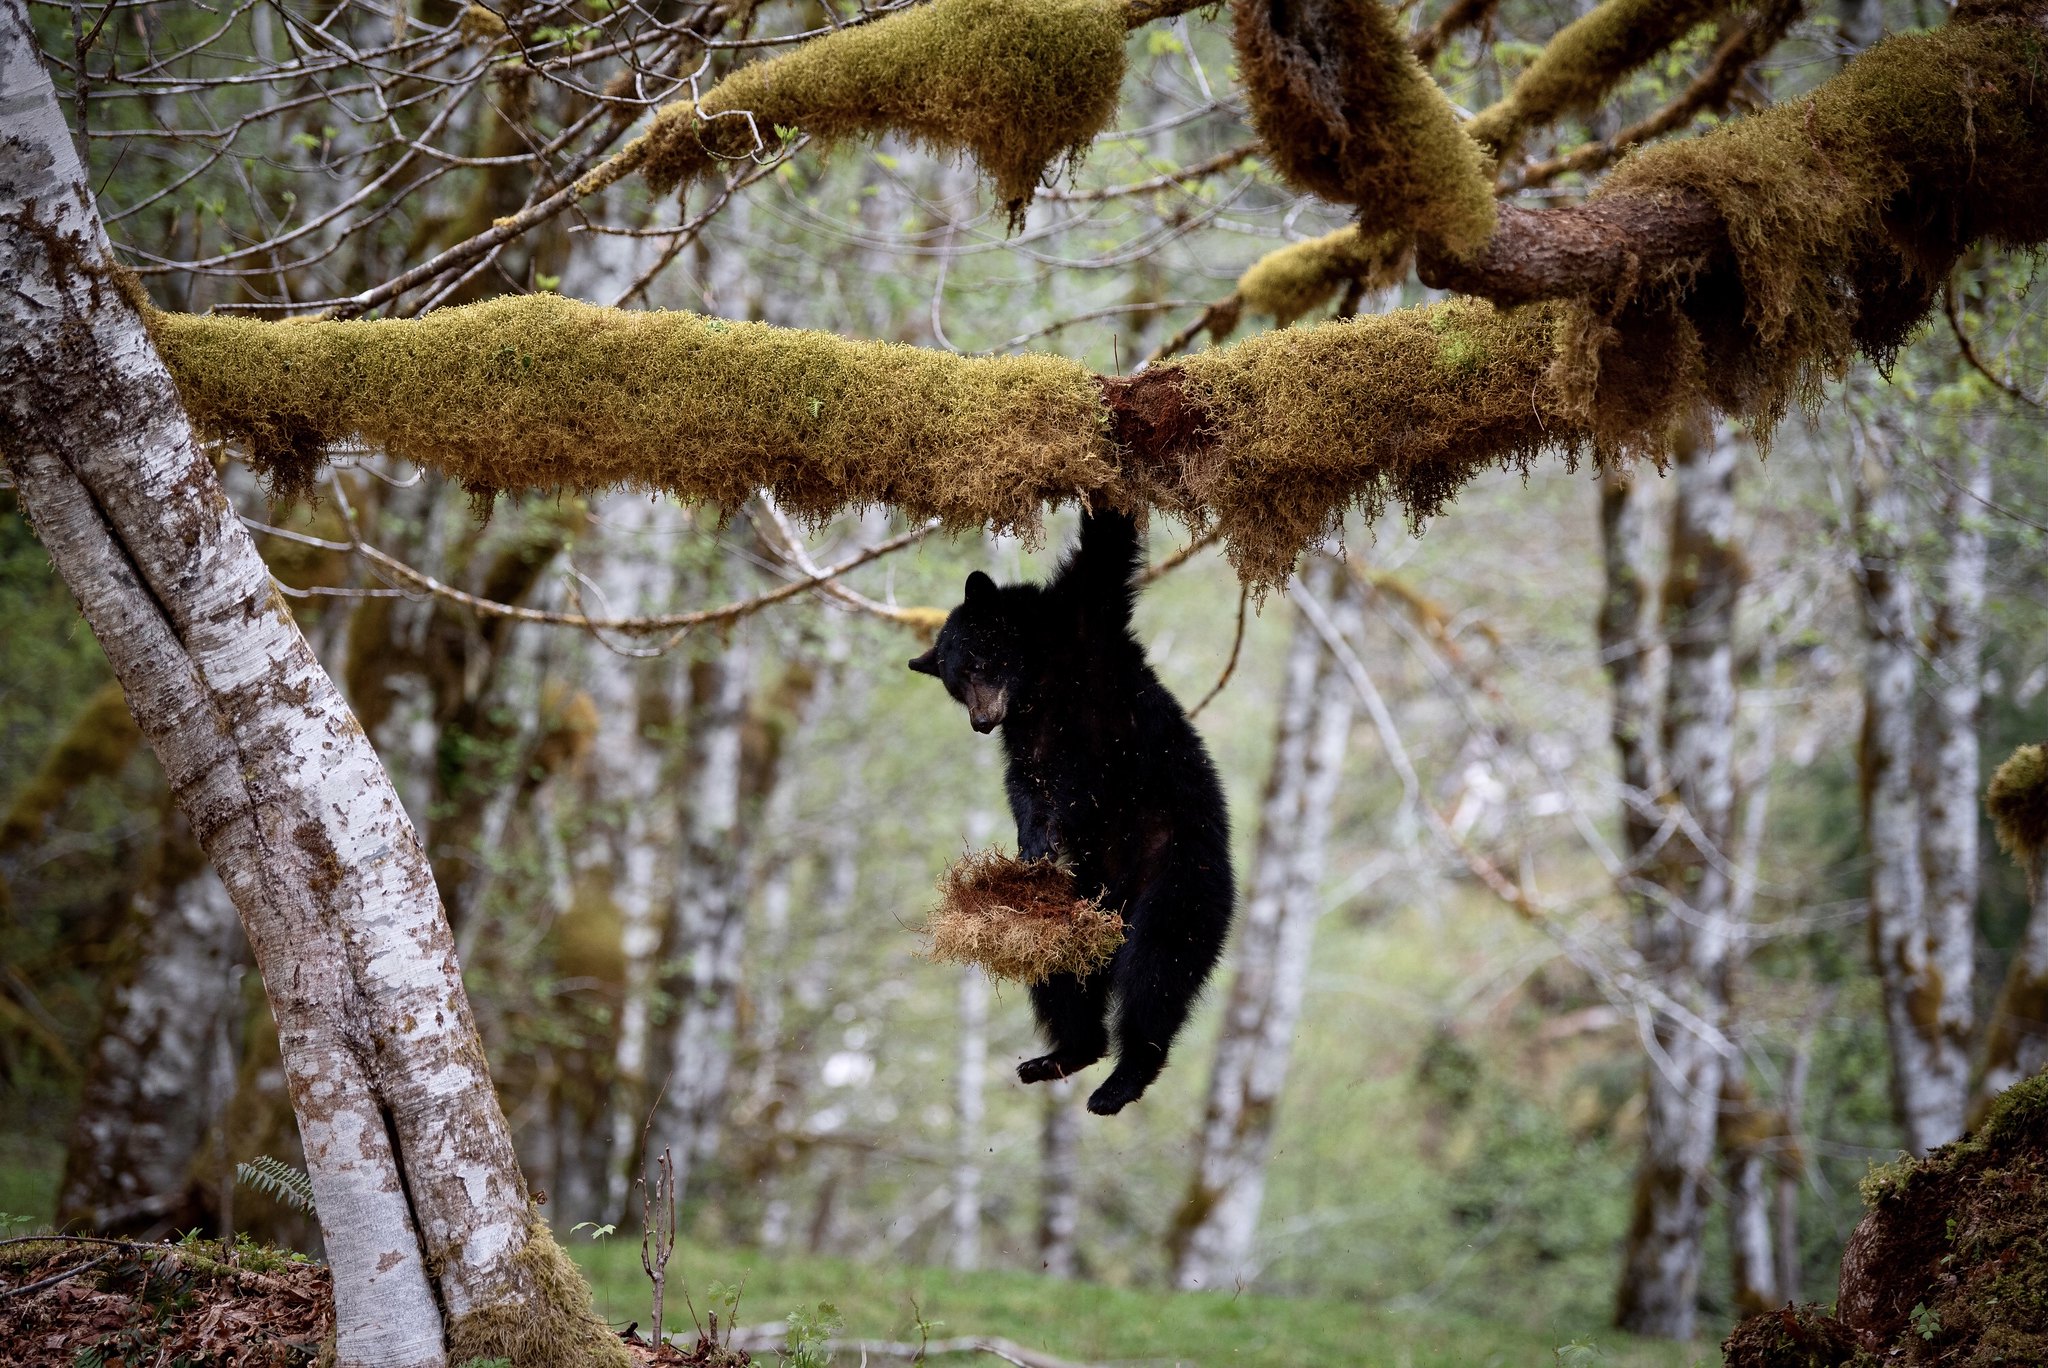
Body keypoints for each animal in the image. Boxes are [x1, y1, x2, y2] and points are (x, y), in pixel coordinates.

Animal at [908, 508, 1235, 1115]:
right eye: (953, 684)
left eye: (976, 664)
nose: (980, 723)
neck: (1037, 678)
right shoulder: (1025, 731)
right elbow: (1025, 783)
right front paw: (1032, 843)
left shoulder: (1089, 627)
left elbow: (1107, 544)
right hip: (1080, 899)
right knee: (1061, 972)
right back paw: (1062, 1054)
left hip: (1180, 875)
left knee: (1157, 969)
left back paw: (1122, 1079)